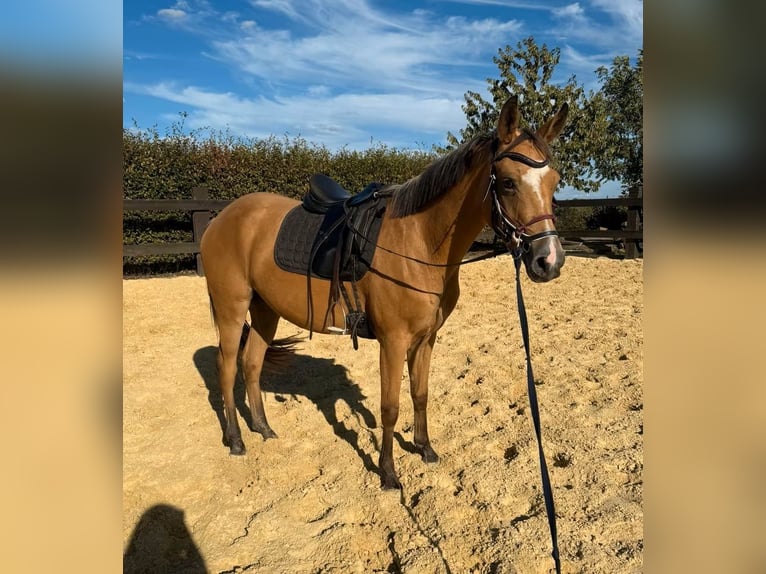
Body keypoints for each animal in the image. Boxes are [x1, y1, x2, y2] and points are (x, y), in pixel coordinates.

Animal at [200, 95, 568, 489]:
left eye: (554, 183)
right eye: (509, 183)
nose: (549, 261)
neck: (419, 241)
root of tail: (222, 218)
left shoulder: (426, 338)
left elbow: (420, 394)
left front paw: (425, 449)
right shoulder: (393, 341)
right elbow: (390, 407)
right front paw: (389, 472)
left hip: (265, 309)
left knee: (251, 363)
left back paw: (263, 428)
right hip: (232, 309)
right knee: (226, 367)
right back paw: (236, 439)